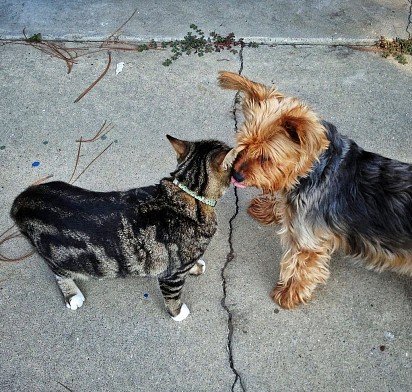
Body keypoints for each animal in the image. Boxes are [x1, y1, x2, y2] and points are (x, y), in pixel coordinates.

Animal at [11, 136, 233, 320]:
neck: (188, 193)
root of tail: (22, 200)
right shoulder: (172, 275)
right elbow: (173, 296)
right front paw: (178, 313)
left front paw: (196, 266)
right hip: (57, 256)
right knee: (58, 272)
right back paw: (72, 295)